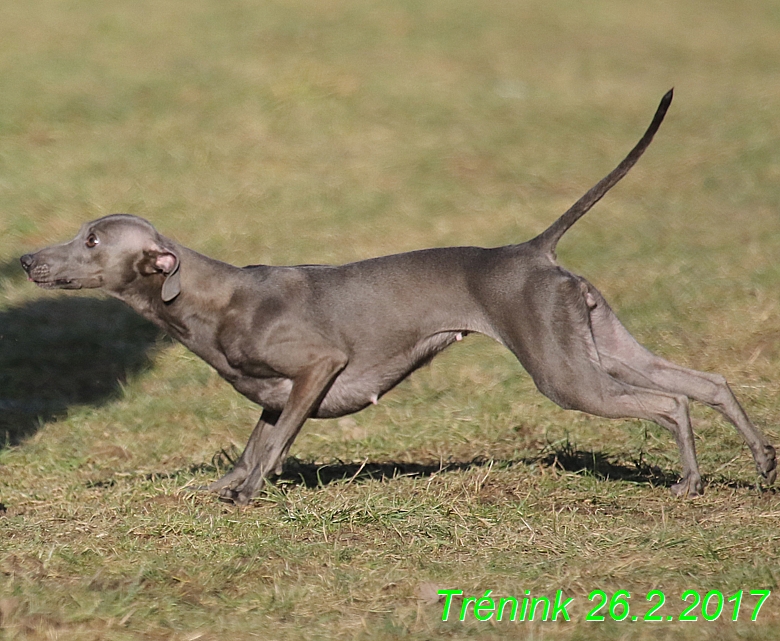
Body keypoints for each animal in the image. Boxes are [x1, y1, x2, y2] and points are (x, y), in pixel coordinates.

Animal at [21, 90, 776, 502]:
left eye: (92, 239)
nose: (26, 258)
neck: (207, 296)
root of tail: (532, 250)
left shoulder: (317, 367)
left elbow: (278, 443)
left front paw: (252, 496)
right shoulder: (273, 393)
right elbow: (255, 442)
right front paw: (227, 487)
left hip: (566, 374)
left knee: (670, 402)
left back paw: (690, 481)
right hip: (602, 344)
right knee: (707, 384)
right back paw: (763, 465)